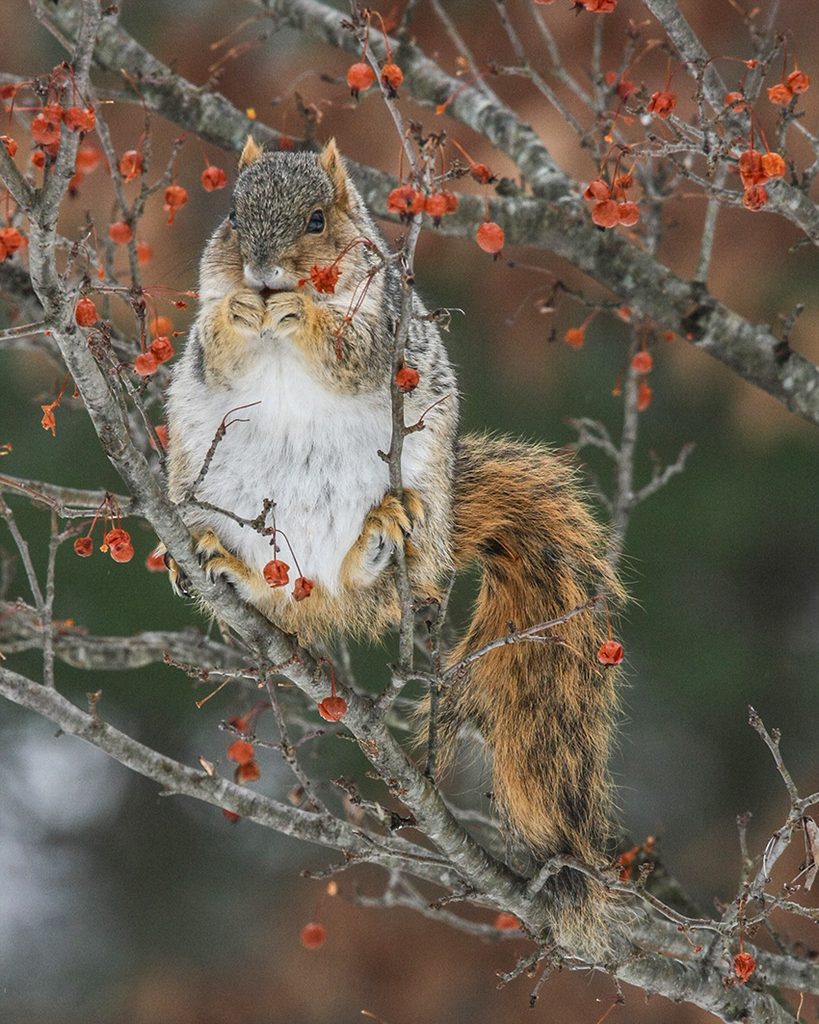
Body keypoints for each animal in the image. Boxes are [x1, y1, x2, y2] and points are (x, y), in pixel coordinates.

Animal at [164, 137, 623, 951]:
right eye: (232, 216)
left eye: (318, 219)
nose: (262, 273)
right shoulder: (203, 353)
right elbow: (214, 348)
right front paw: (238, 311)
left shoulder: (383, 332)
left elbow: (345, 350)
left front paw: (301, 311)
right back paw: (222, 562)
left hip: (416, 481)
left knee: (371, 574)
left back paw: (381, 541)